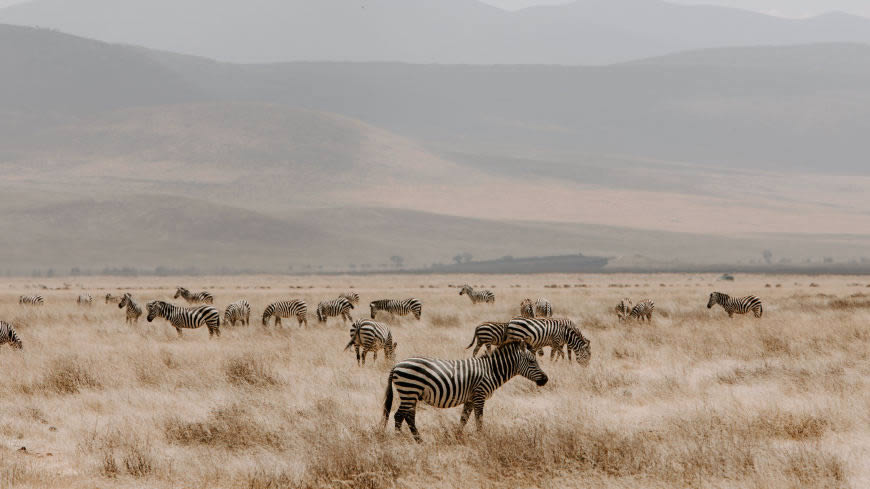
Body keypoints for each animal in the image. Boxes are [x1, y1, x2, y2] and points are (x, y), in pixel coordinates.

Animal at [384, 340, 548, 442]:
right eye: (532, 361)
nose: (545, 379)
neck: (490, 370)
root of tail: (397, 364)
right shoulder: (479, 395)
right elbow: (479, 419)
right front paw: (481, 439)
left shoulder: (470, 398)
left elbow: (464, 419)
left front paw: (457, 437)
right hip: (409, 391)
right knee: (399, 416)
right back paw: (400, 440)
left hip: (412, 394)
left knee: (409, 417)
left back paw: (419, 441)